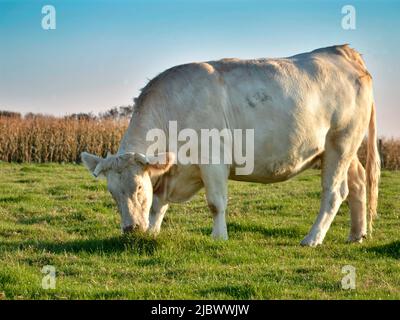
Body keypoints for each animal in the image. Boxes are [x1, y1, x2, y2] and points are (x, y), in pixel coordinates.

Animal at [82, 43, 382, 246]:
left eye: (138, 187)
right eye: (112, 192)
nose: (131, 229)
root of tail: (341, 51)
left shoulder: (213, 160)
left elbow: (215, 203)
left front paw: (219, 237)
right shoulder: (174, 171)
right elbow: (158, 204)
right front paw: (154, 231)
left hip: (340, 143)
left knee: (334, 192)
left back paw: (312, 238)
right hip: (343, 149)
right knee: (357, 183)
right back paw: (356, 235)